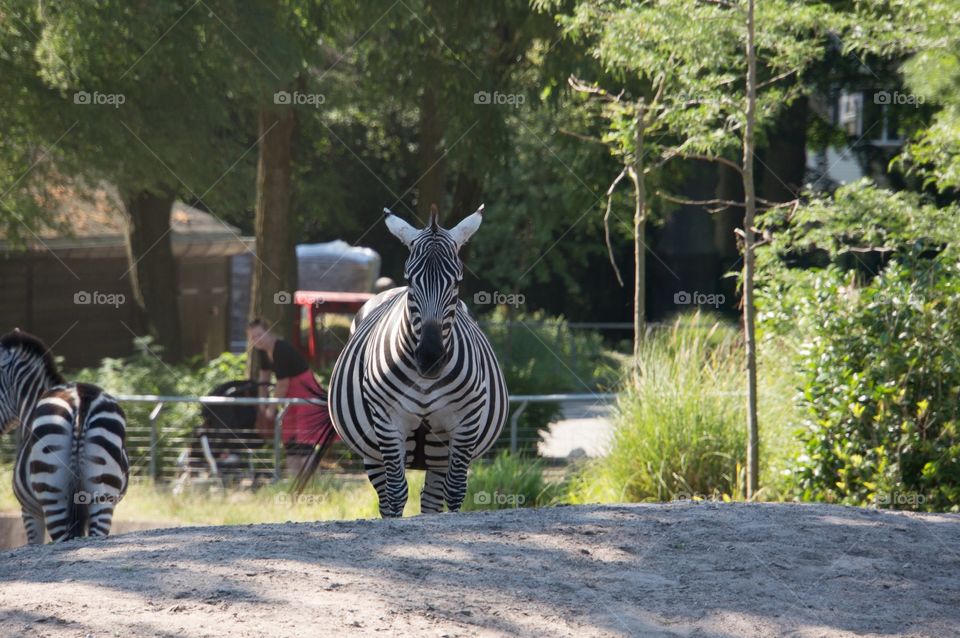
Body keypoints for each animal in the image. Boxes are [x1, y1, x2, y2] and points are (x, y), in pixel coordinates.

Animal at [327, 205, 508, 517]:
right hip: (372, 451)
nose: (430, 358)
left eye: (457, 282)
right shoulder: (388, 421)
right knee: (386, 495)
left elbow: (455, 491)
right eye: (410, 280)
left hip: (439, 450)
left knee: (432, 498)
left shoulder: (465, 422)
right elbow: (397, 493)